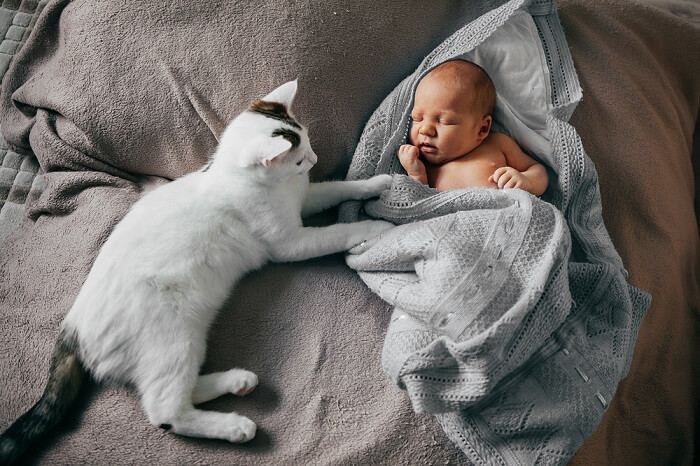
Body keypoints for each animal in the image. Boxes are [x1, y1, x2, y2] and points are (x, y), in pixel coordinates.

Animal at [0, 79, 394, 462]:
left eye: (308, 145)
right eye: (298, 160)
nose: (314, 159)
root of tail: (73, 329)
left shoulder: (306, 199)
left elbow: (337, 188)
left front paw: (377, 183)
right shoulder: (290, 242)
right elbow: (336, 232)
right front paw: (375, 229)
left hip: (187, 342)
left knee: (184, 390)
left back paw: (238, 382)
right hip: (174, 340)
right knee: (165, 410)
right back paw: (235, 426)